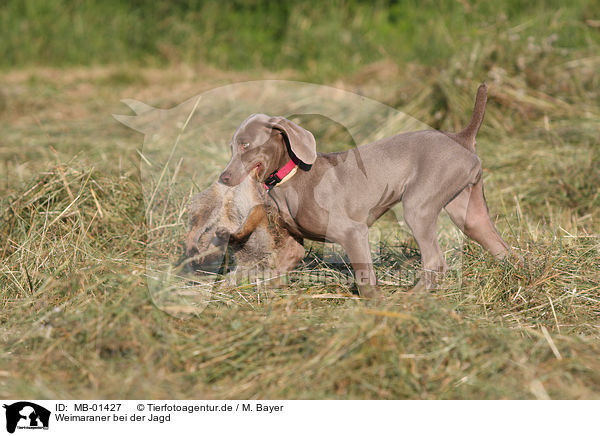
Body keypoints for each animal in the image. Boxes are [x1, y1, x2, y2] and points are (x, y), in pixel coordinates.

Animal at [218, 83, 508, 298]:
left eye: (245, 145)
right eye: (231, 147)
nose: (223, 177)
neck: (292, 175)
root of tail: (461, 138)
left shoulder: (353, 232)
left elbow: (366, 279)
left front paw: (377, 306)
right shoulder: (293, 247)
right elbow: (275, 272)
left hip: (418, 206)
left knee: (435, 261)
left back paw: (410, 300)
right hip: (468, 210)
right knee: (500, 246)